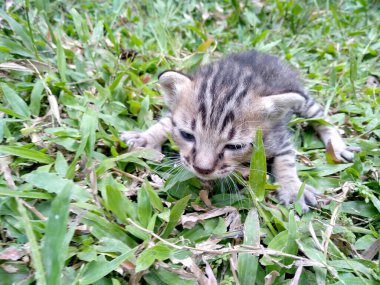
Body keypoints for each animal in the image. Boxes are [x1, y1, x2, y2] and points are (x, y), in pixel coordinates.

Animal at [121, 50, 360, 211]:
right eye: (187, 135)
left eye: (235, 146)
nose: (202, 169)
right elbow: (165, 122)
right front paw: (144, 138)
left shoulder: (279, 137)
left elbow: (286, 160)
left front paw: (293, 188)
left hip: (304, 101)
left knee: (323, 118)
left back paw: (337, 146)